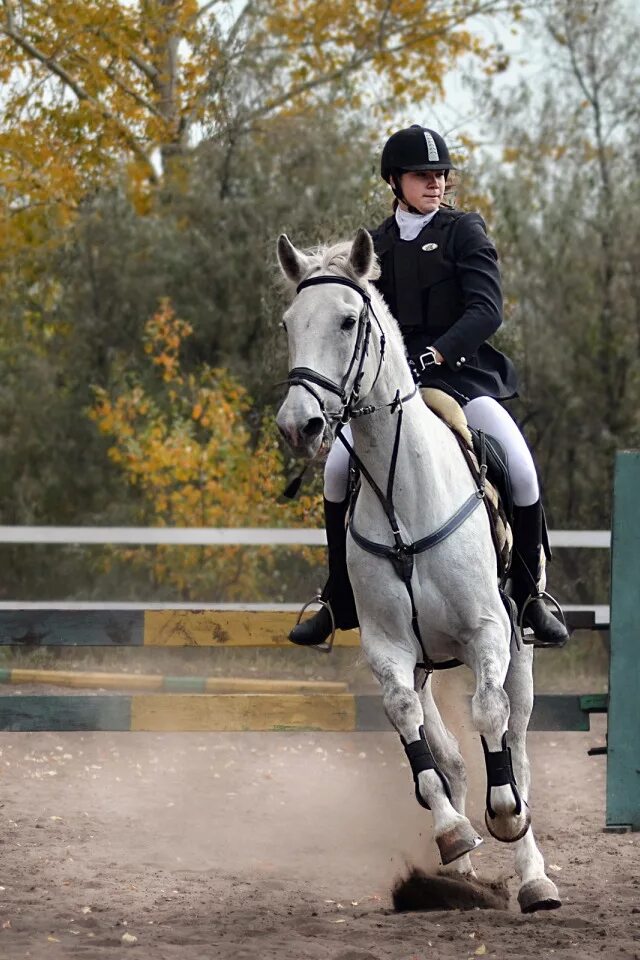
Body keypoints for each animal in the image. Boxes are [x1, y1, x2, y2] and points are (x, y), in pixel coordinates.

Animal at [276, 229, 560, 912]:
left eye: (348, 321)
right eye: (290, 324)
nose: (299, 425)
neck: (402, 492)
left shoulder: (488, 633)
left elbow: (491, 721)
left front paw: (505, 817)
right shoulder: (389, 650)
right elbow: (416, 732)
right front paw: (454, 835)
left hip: (520, 645)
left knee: (517, 741)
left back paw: (533, 876)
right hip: (429, 662)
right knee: (452, 756)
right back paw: (459, 875)